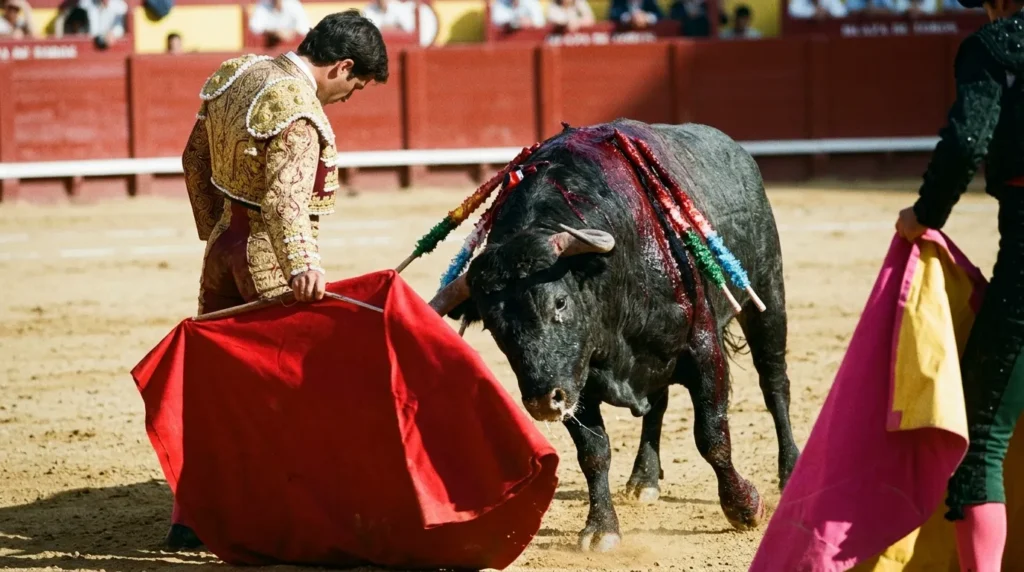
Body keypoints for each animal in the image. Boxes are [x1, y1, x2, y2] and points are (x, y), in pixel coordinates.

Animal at [428, 118, 800, 552]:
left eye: (559, 302)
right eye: (494, 326)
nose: (542, 403)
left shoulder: (702, 348)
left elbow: (711, 435)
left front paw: (744, 507)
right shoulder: (576, 381)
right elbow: (594, 452)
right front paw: (601, 529)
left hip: (768, 293)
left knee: (774, 383)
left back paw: (790, 470)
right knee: (658, 404)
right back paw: (644, 479)